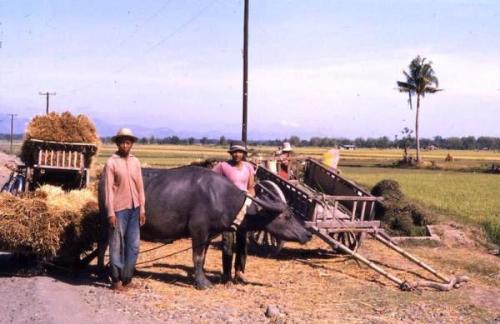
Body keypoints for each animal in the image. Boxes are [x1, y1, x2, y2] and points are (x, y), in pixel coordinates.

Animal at [97, 167, 310, 288]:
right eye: (287, 216)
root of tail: (103, 178)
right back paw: (103, 272)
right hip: (109, 222)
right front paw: (201, 283)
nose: (307, 234)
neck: (222, 198)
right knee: (103, 245)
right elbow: (197, 258)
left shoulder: (208, 234)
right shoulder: (198, 231)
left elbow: (204, 257)